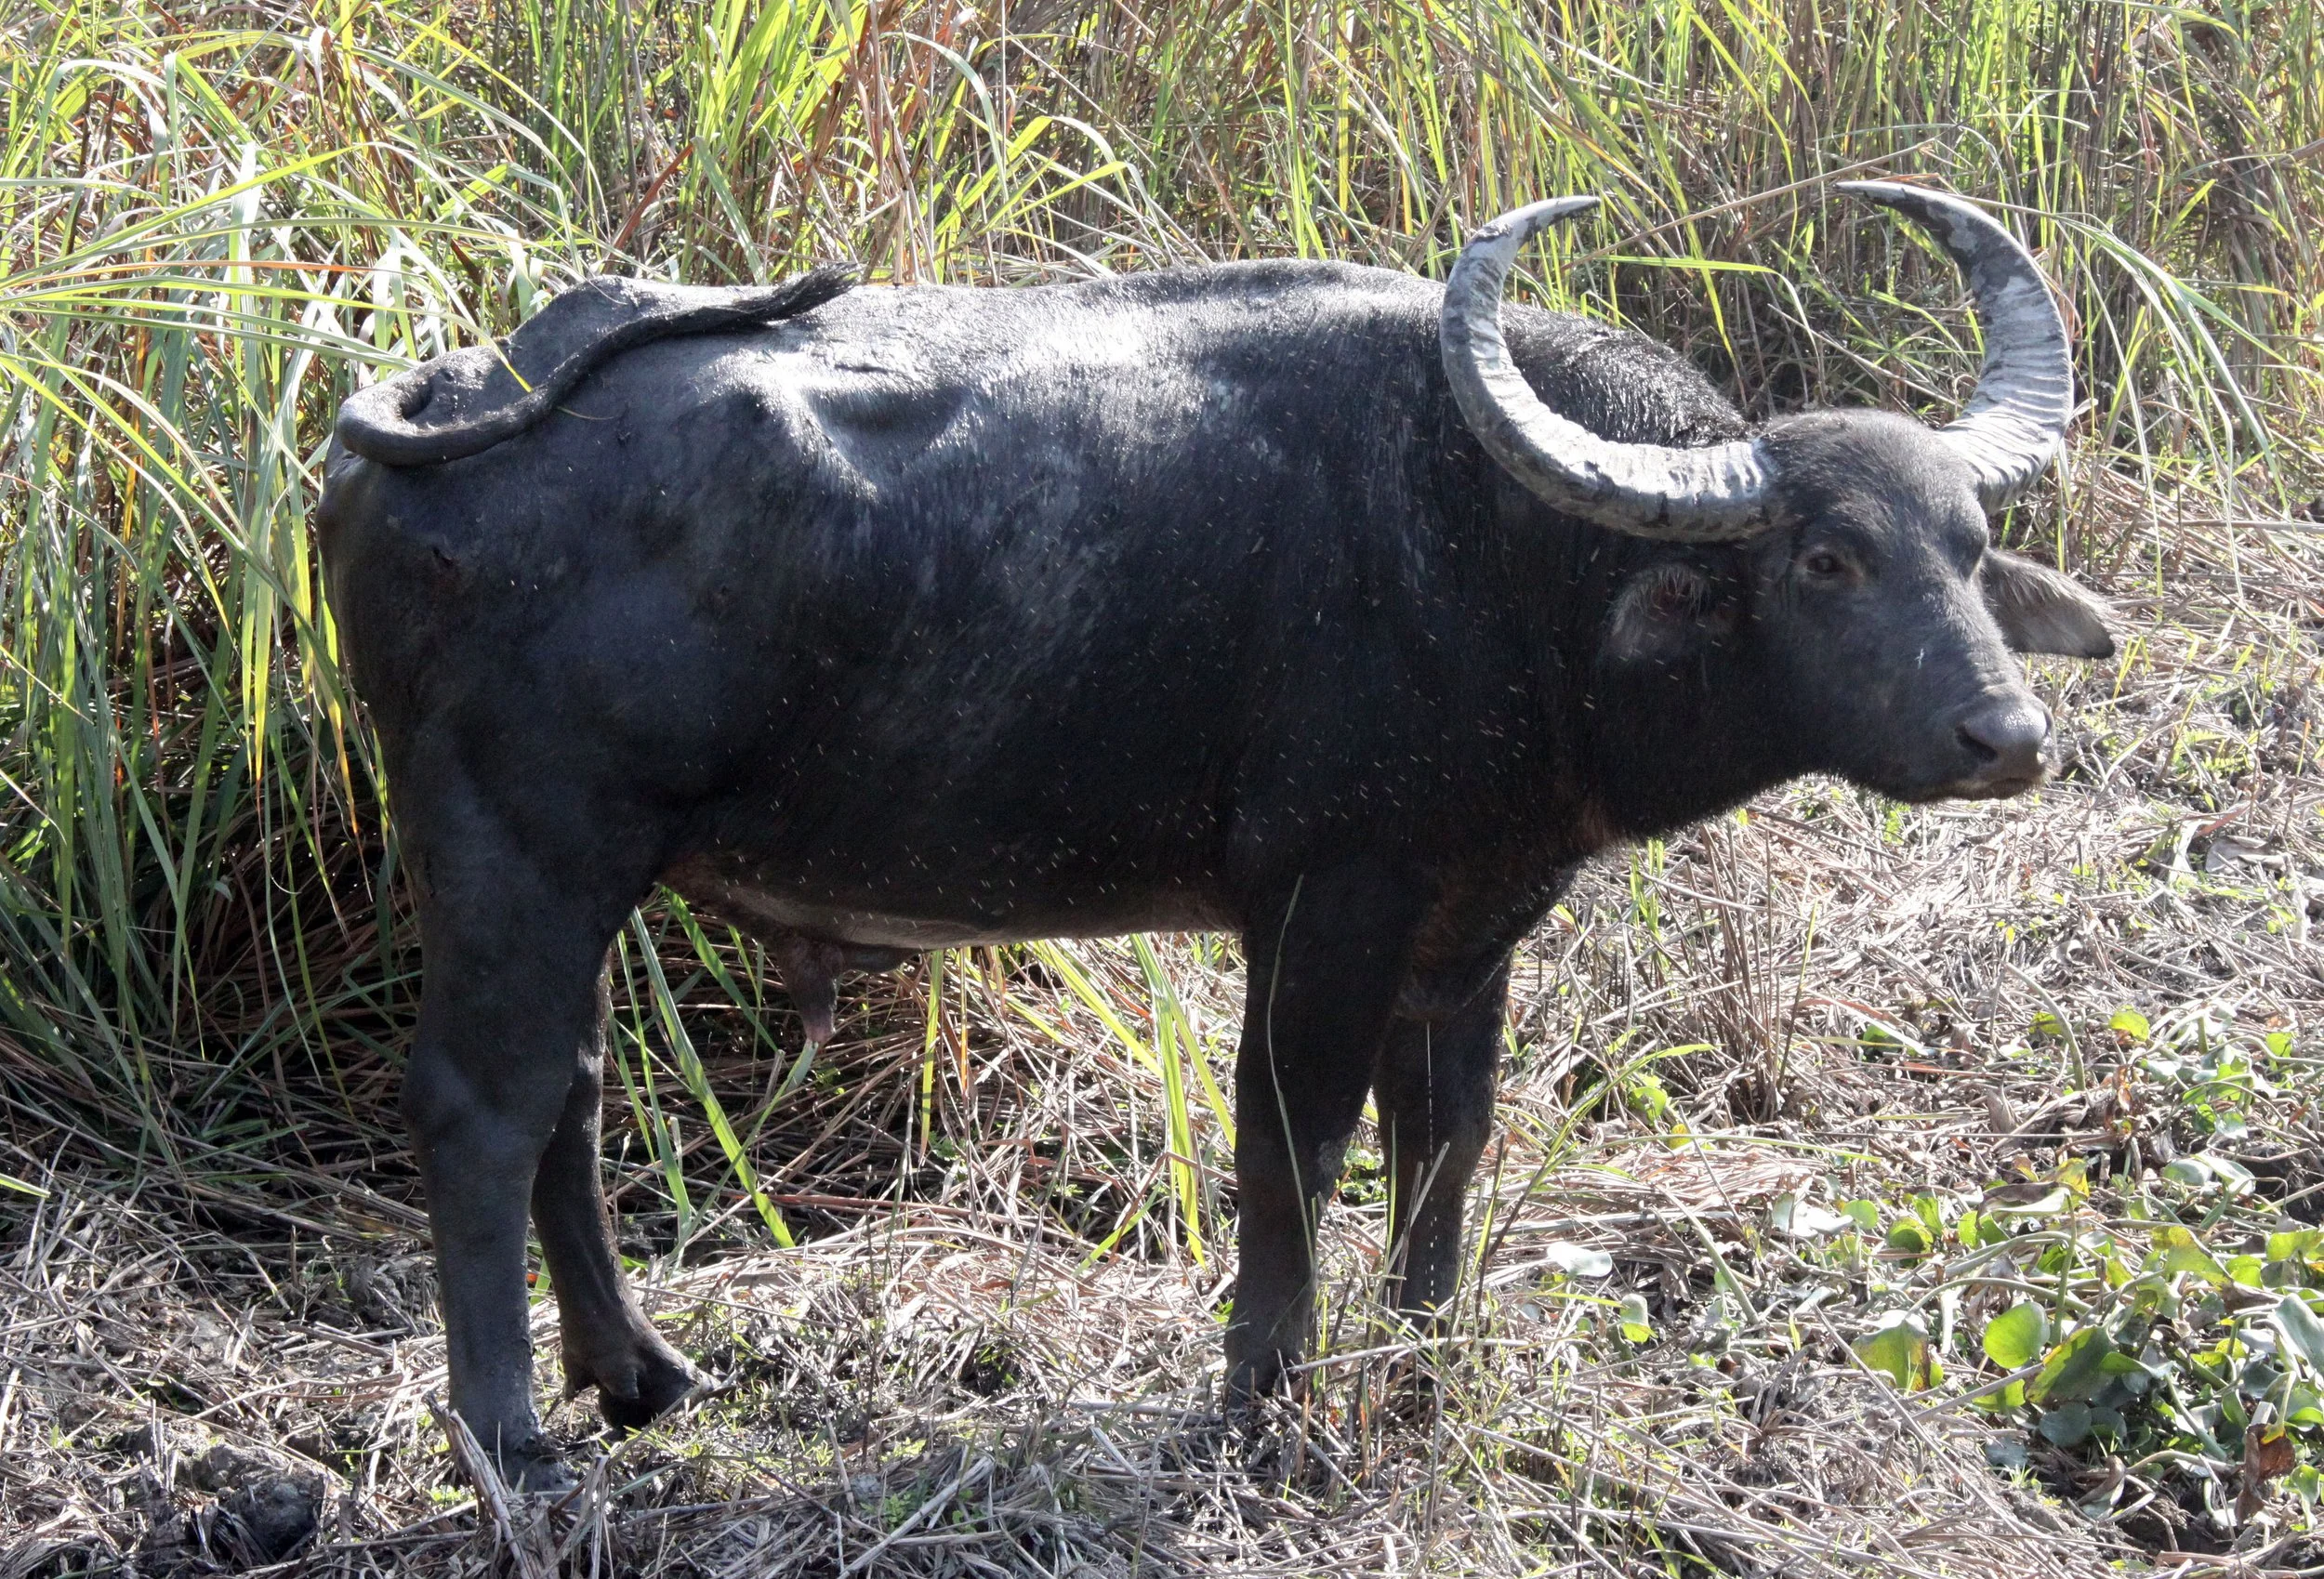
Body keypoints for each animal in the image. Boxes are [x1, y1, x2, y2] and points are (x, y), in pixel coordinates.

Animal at [319, 182, 2112, 1486]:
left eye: (1970, 544)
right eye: (1825, 557)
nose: (2005, 740)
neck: (1506, 555)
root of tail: (456, 392)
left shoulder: (1468, 926)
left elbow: (1447, 1141)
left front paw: (1426, 1365)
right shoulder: (1325, 905)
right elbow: (1291, 1146)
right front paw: (1265, 1399)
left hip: (579, 879)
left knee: (568, 1088)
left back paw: (635, 1371)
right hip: (521, 848)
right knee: (480, 1105)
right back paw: (510, 1437)